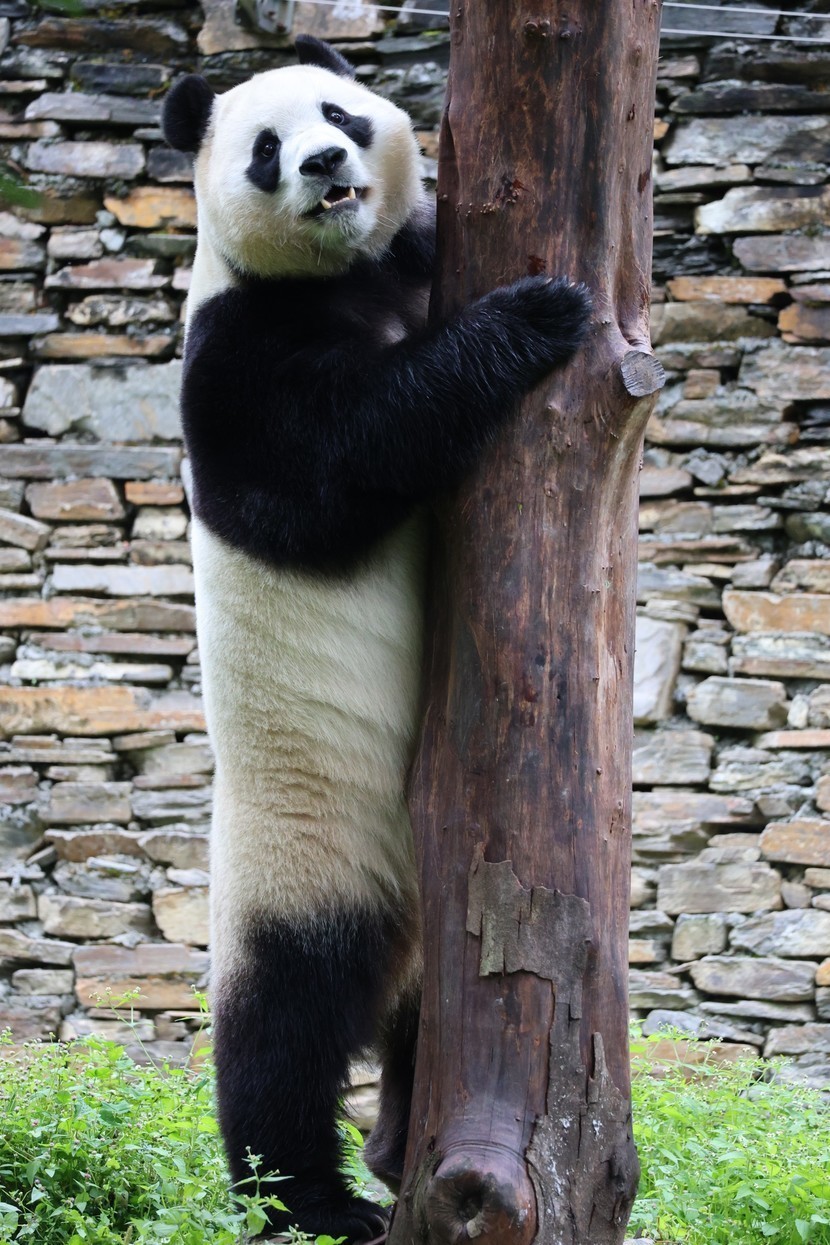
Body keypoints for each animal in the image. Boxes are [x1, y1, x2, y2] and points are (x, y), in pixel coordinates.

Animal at [162, 36, 590, 1244]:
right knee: (283, 1027)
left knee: (413, 1023)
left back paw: (400, 1147)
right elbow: (327, 468)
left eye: (341, 114)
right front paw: (537, 314)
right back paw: (309, 1200)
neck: (345, 275)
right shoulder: (237, 351)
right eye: (264, 150)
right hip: (308, 855)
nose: (320, 166)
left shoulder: (412, 255)